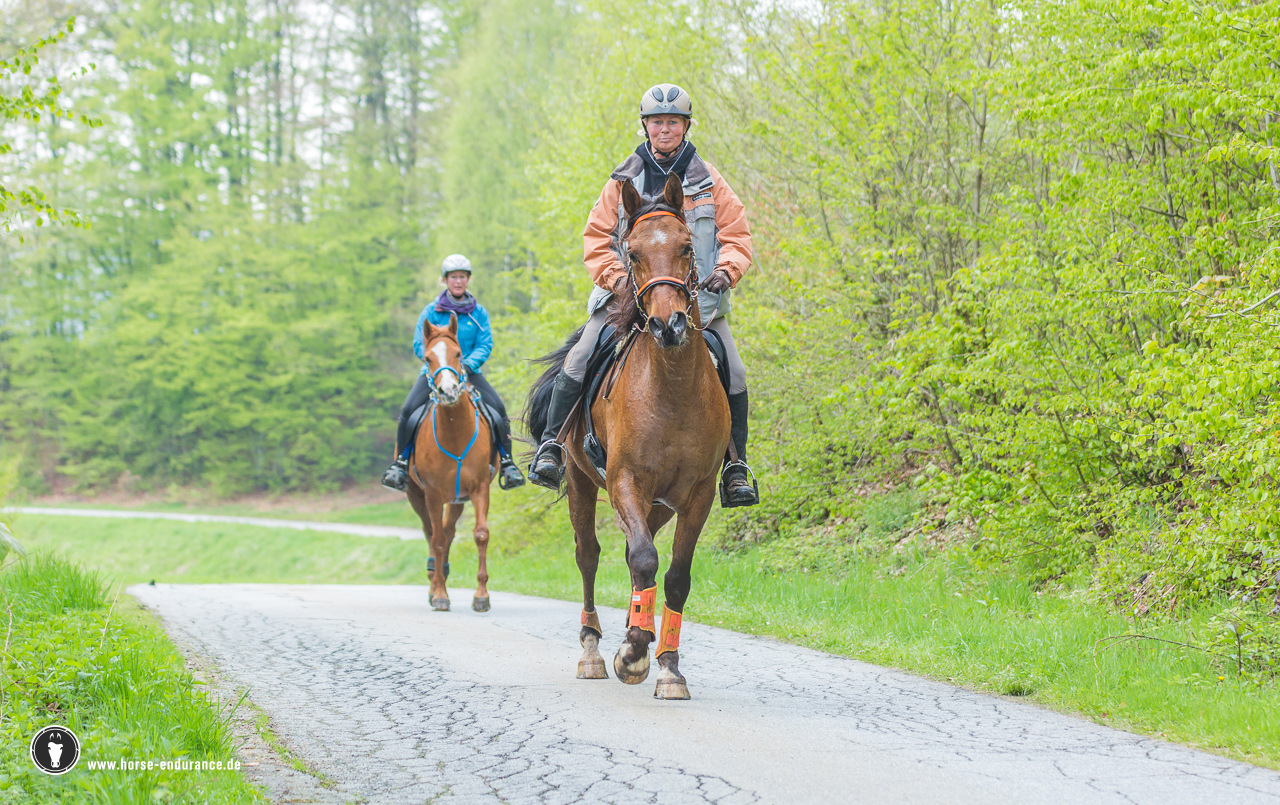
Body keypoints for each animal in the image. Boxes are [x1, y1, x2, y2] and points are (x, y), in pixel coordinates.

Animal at [406, 314, 497, 613]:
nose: (448, 391)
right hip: (416, 495)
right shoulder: (433, 494)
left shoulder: (480, 488)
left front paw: (481, 596)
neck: (456, 433)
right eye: (427, 358)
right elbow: (435, 540)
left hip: (457, 500)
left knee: (448, 532)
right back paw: (435, 582)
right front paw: (440, 595)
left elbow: (480, 534)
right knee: (432, 533)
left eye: (458, 354)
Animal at [524, 171, 731, 700]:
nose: (668, 324)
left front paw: (668, 667)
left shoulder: (697, 494)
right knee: (590, 555)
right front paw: (633, 653)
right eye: (632, 253)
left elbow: (674, 576)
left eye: (686, 247)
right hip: (582, 482)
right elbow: (642, 558)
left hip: (660, 504)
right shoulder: (624, 480)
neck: (672, 389)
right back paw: (594, 650)